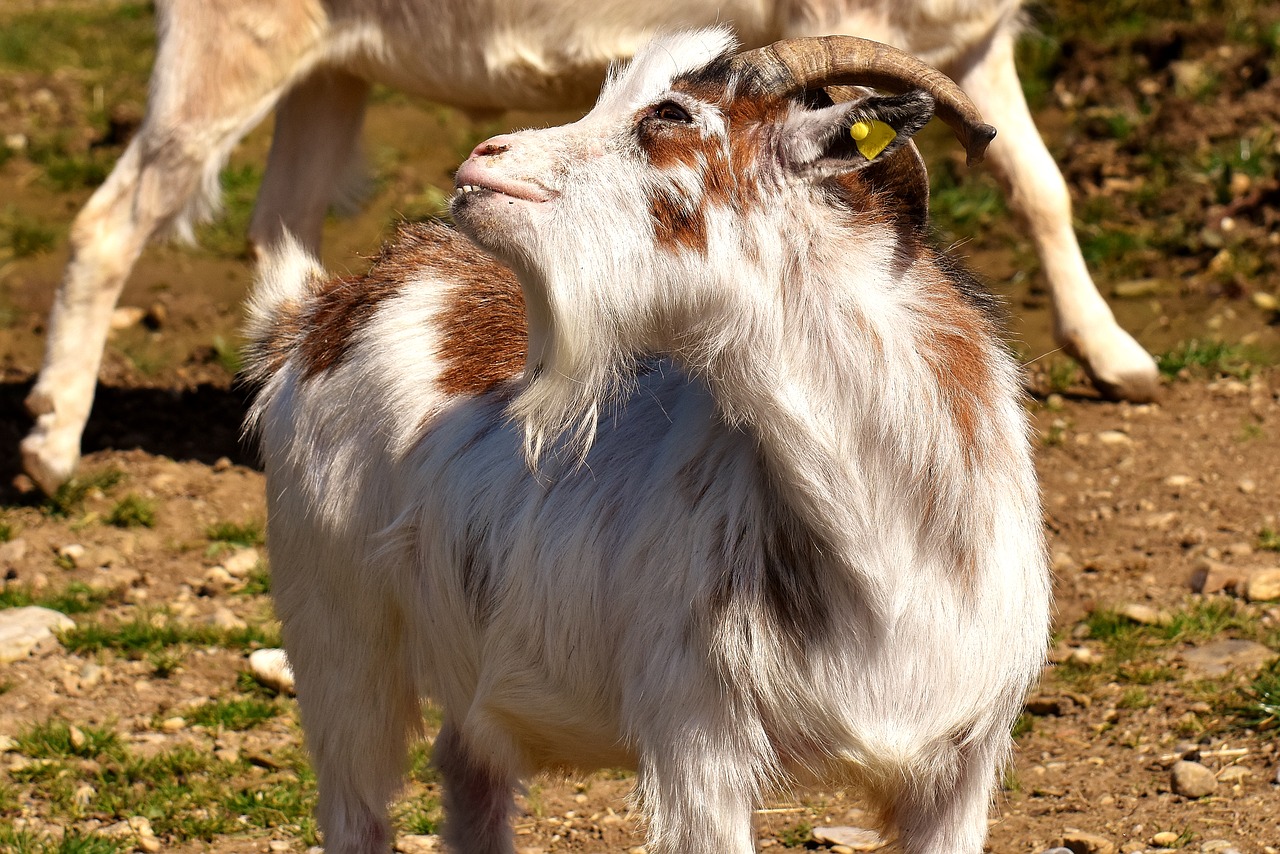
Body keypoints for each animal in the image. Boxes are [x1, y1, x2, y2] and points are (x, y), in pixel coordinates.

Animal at [20, 0, 1162, 496]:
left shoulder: (969, 46)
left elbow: (1041, 186)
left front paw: (1118, 361)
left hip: (327, 72)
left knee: (284, 231)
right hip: (227, 49)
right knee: (111, 220)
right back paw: (49, 449)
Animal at [240, 28, 1049, 854]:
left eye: (670, 112)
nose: (483, 158)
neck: (888, 554)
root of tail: (324, 308)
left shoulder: (960, 775)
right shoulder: (698, 750)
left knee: (469, 771)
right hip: (337, 639)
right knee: (356, 806)